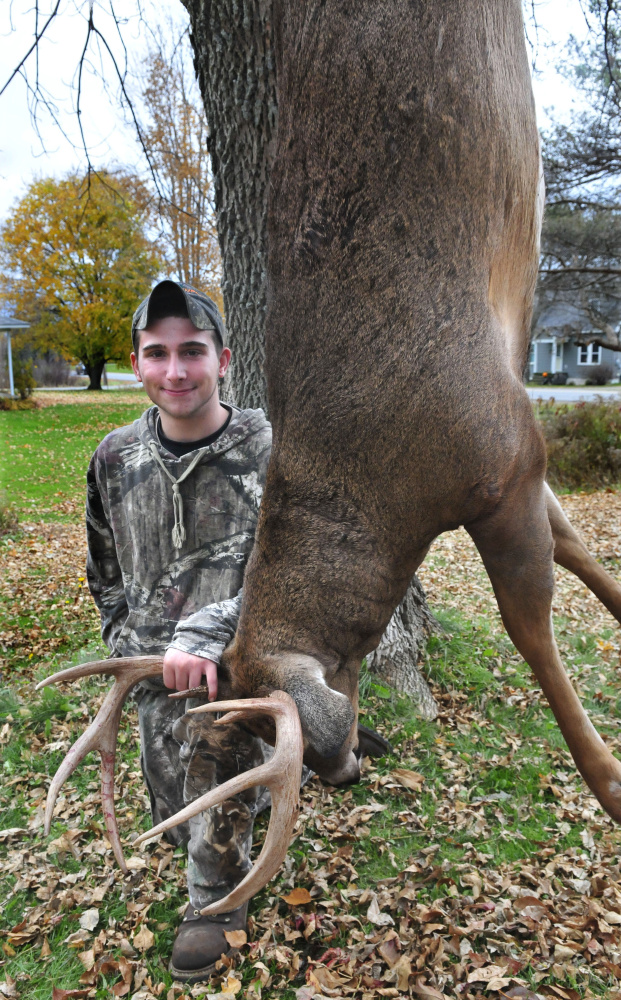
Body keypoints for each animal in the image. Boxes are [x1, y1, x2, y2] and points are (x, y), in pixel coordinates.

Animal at [38, 0, 621, 916]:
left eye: (310, 740)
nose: (349, 770)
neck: (384, 485)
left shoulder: (499, 458)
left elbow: (532, 627)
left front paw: (610, 782)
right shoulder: (524, 461)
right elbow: (584, 551)